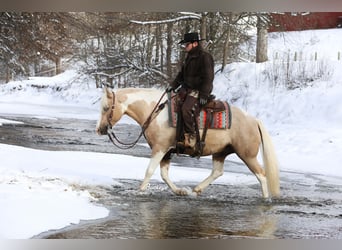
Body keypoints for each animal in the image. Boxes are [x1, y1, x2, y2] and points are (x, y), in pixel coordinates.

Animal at [95, 87, 280, 198]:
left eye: (106, 108)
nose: (100, 129)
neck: (155, 112)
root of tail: (254, 120)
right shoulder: (167, 152)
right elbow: (164, 174)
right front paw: (180, 191)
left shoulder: (160, 148)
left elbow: (149, 171)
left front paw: (139, 191)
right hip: (220, 152)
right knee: (217, 172)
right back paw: (197, 189)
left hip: (247, 155)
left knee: (261, 175)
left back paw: (266, 199)